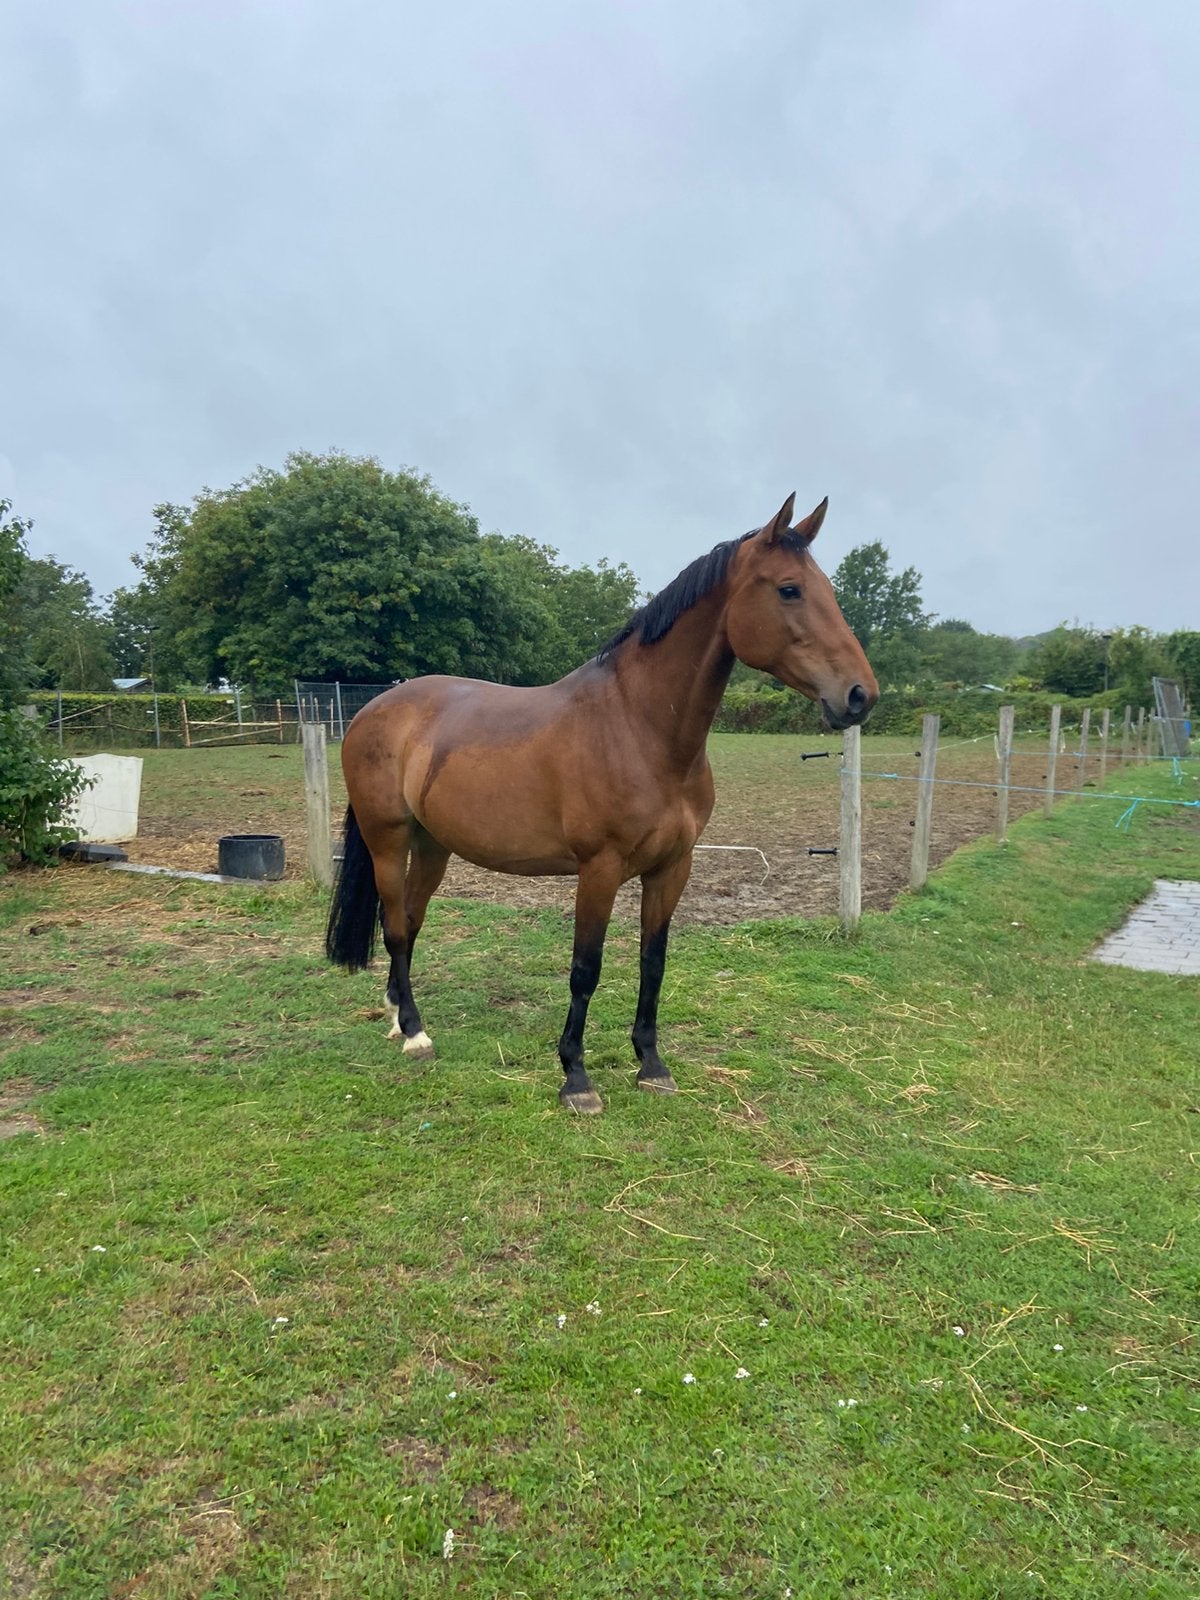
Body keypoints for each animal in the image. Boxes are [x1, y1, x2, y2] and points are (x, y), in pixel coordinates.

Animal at [326, 493, 878, 1114]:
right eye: (789, 590)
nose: (861, 695)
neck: (639, 728)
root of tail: (372, 710)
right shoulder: (600, 869)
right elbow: (585, 968)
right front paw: (576, 1076)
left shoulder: (672, 868)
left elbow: (653, 962)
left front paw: (651, 1064)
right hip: (388, 840)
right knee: (396, 926)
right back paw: (416, 1034)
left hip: (433, 846)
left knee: (410, 921)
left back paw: (399, 1014)